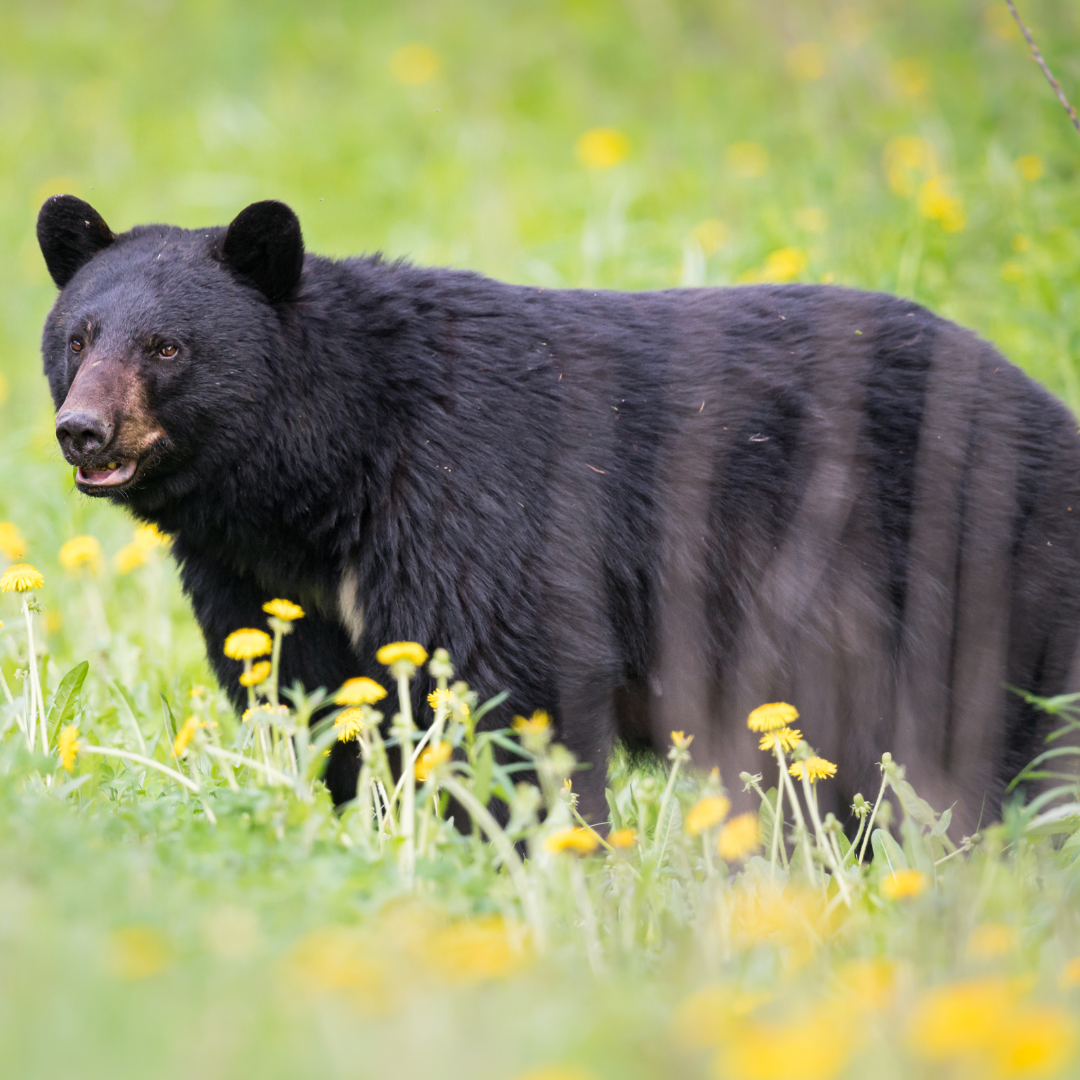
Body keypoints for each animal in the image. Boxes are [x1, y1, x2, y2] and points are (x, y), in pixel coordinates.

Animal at [36, 194, 1080, 830]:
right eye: (78, 336)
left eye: (167, 347)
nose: (83, 430)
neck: (328, 473)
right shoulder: (262, 579)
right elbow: (316, 698)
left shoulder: (473, 494)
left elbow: (513, 681)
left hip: (979, 571)